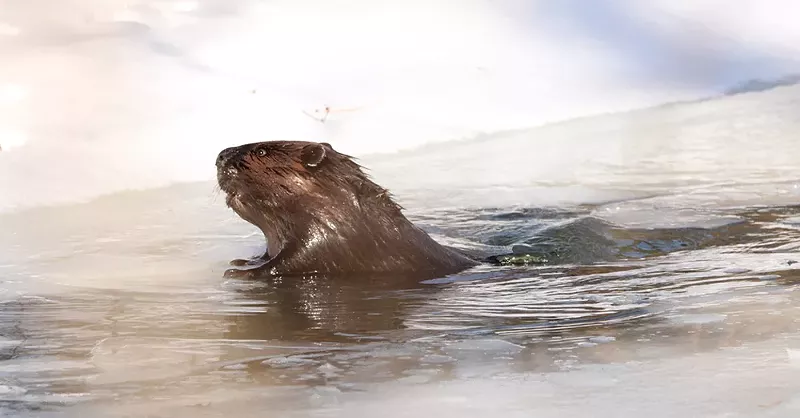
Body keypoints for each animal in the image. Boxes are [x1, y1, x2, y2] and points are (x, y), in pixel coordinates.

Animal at [216, 141, 478, 280]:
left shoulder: (331, 238)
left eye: (261, 152)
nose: (220, 156)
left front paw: (237, 273)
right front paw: (244, 261)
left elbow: (294, 261)